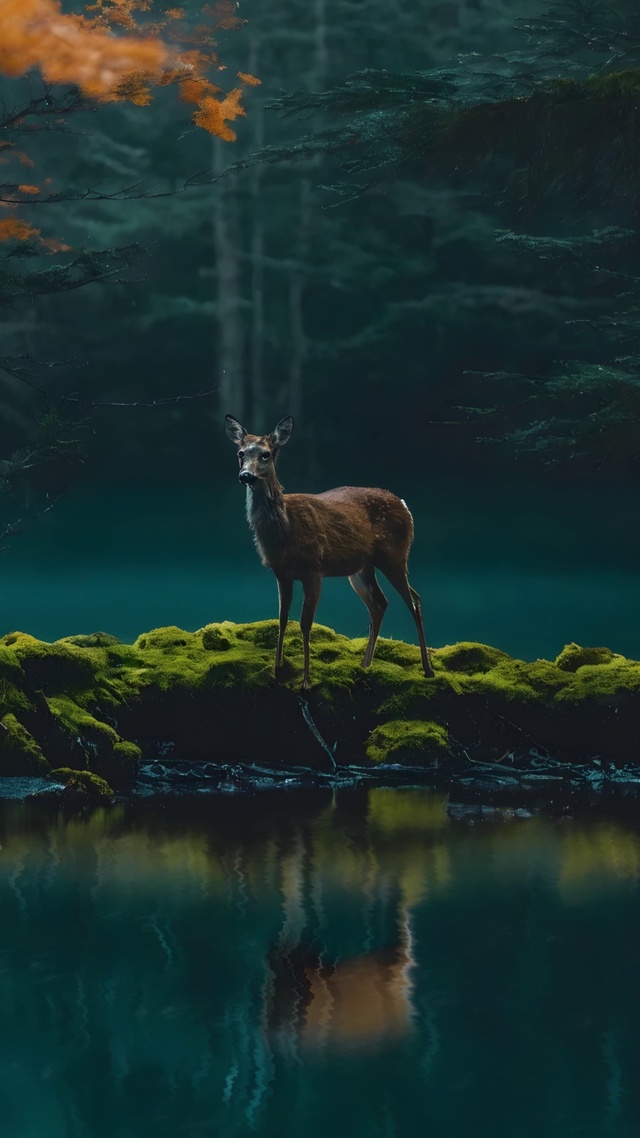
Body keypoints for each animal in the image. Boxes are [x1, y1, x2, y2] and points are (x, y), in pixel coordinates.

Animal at [225, 414, 434, 689]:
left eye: (266, 454)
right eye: (240, 453)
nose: (246, 475)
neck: (286, 528)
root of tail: (404, 505)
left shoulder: (313, 569)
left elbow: (305, 624)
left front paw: (305, 681)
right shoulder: (281, 572)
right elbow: (282, 619)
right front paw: (278, 669)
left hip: (395, 555)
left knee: (413, 601)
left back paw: (427, 669)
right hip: (361, 568)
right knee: (380, 603)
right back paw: (365, 665)